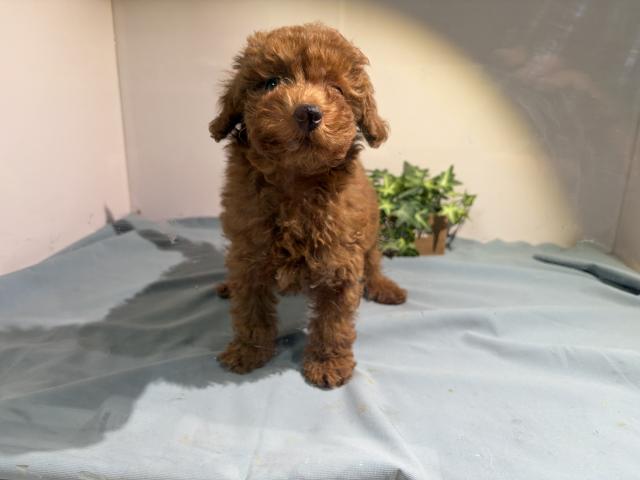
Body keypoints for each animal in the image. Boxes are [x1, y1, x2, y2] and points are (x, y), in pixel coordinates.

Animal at [210, 23, 407, 388]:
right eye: (272, 82)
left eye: (336, 88)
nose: (307, 112)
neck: (296, 181)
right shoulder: (250, 249)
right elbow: (250, 308)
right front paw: (248, 352)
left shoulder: (341, 259)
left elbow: (334, 321)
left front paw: (328, 363)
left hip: (370, 232)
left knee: (373, 261)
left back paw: (384, 287)